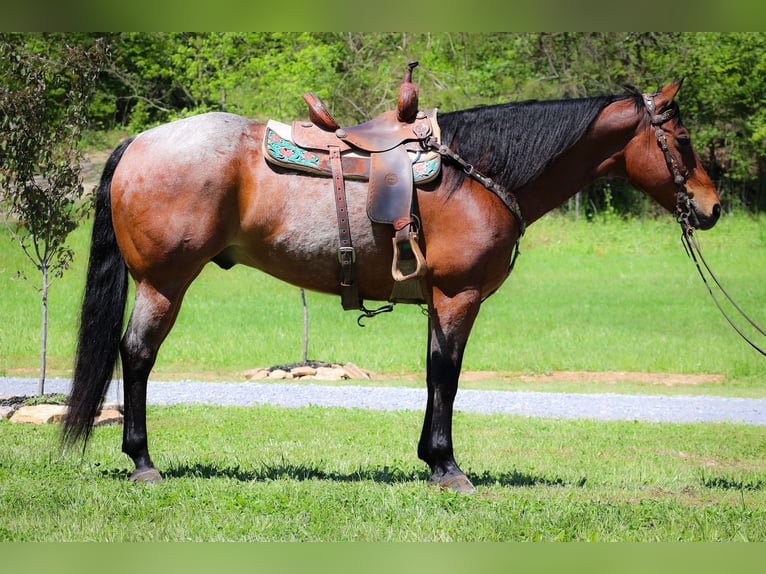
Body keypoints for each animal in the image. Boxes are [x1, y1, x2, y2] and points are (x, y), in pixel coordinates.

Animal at [63, 80, 724, 496]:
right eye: (684, 141)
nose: (713, 207)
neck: (477, 173)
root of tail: (141, 141)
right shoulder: (458, 297)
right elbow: (447, 377)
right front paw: (448, 467)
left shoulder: (440, 301)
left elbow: (434, 374)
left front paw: (432, 462)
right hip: (163, 282)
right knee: (137, 356)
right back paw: (143, 461)